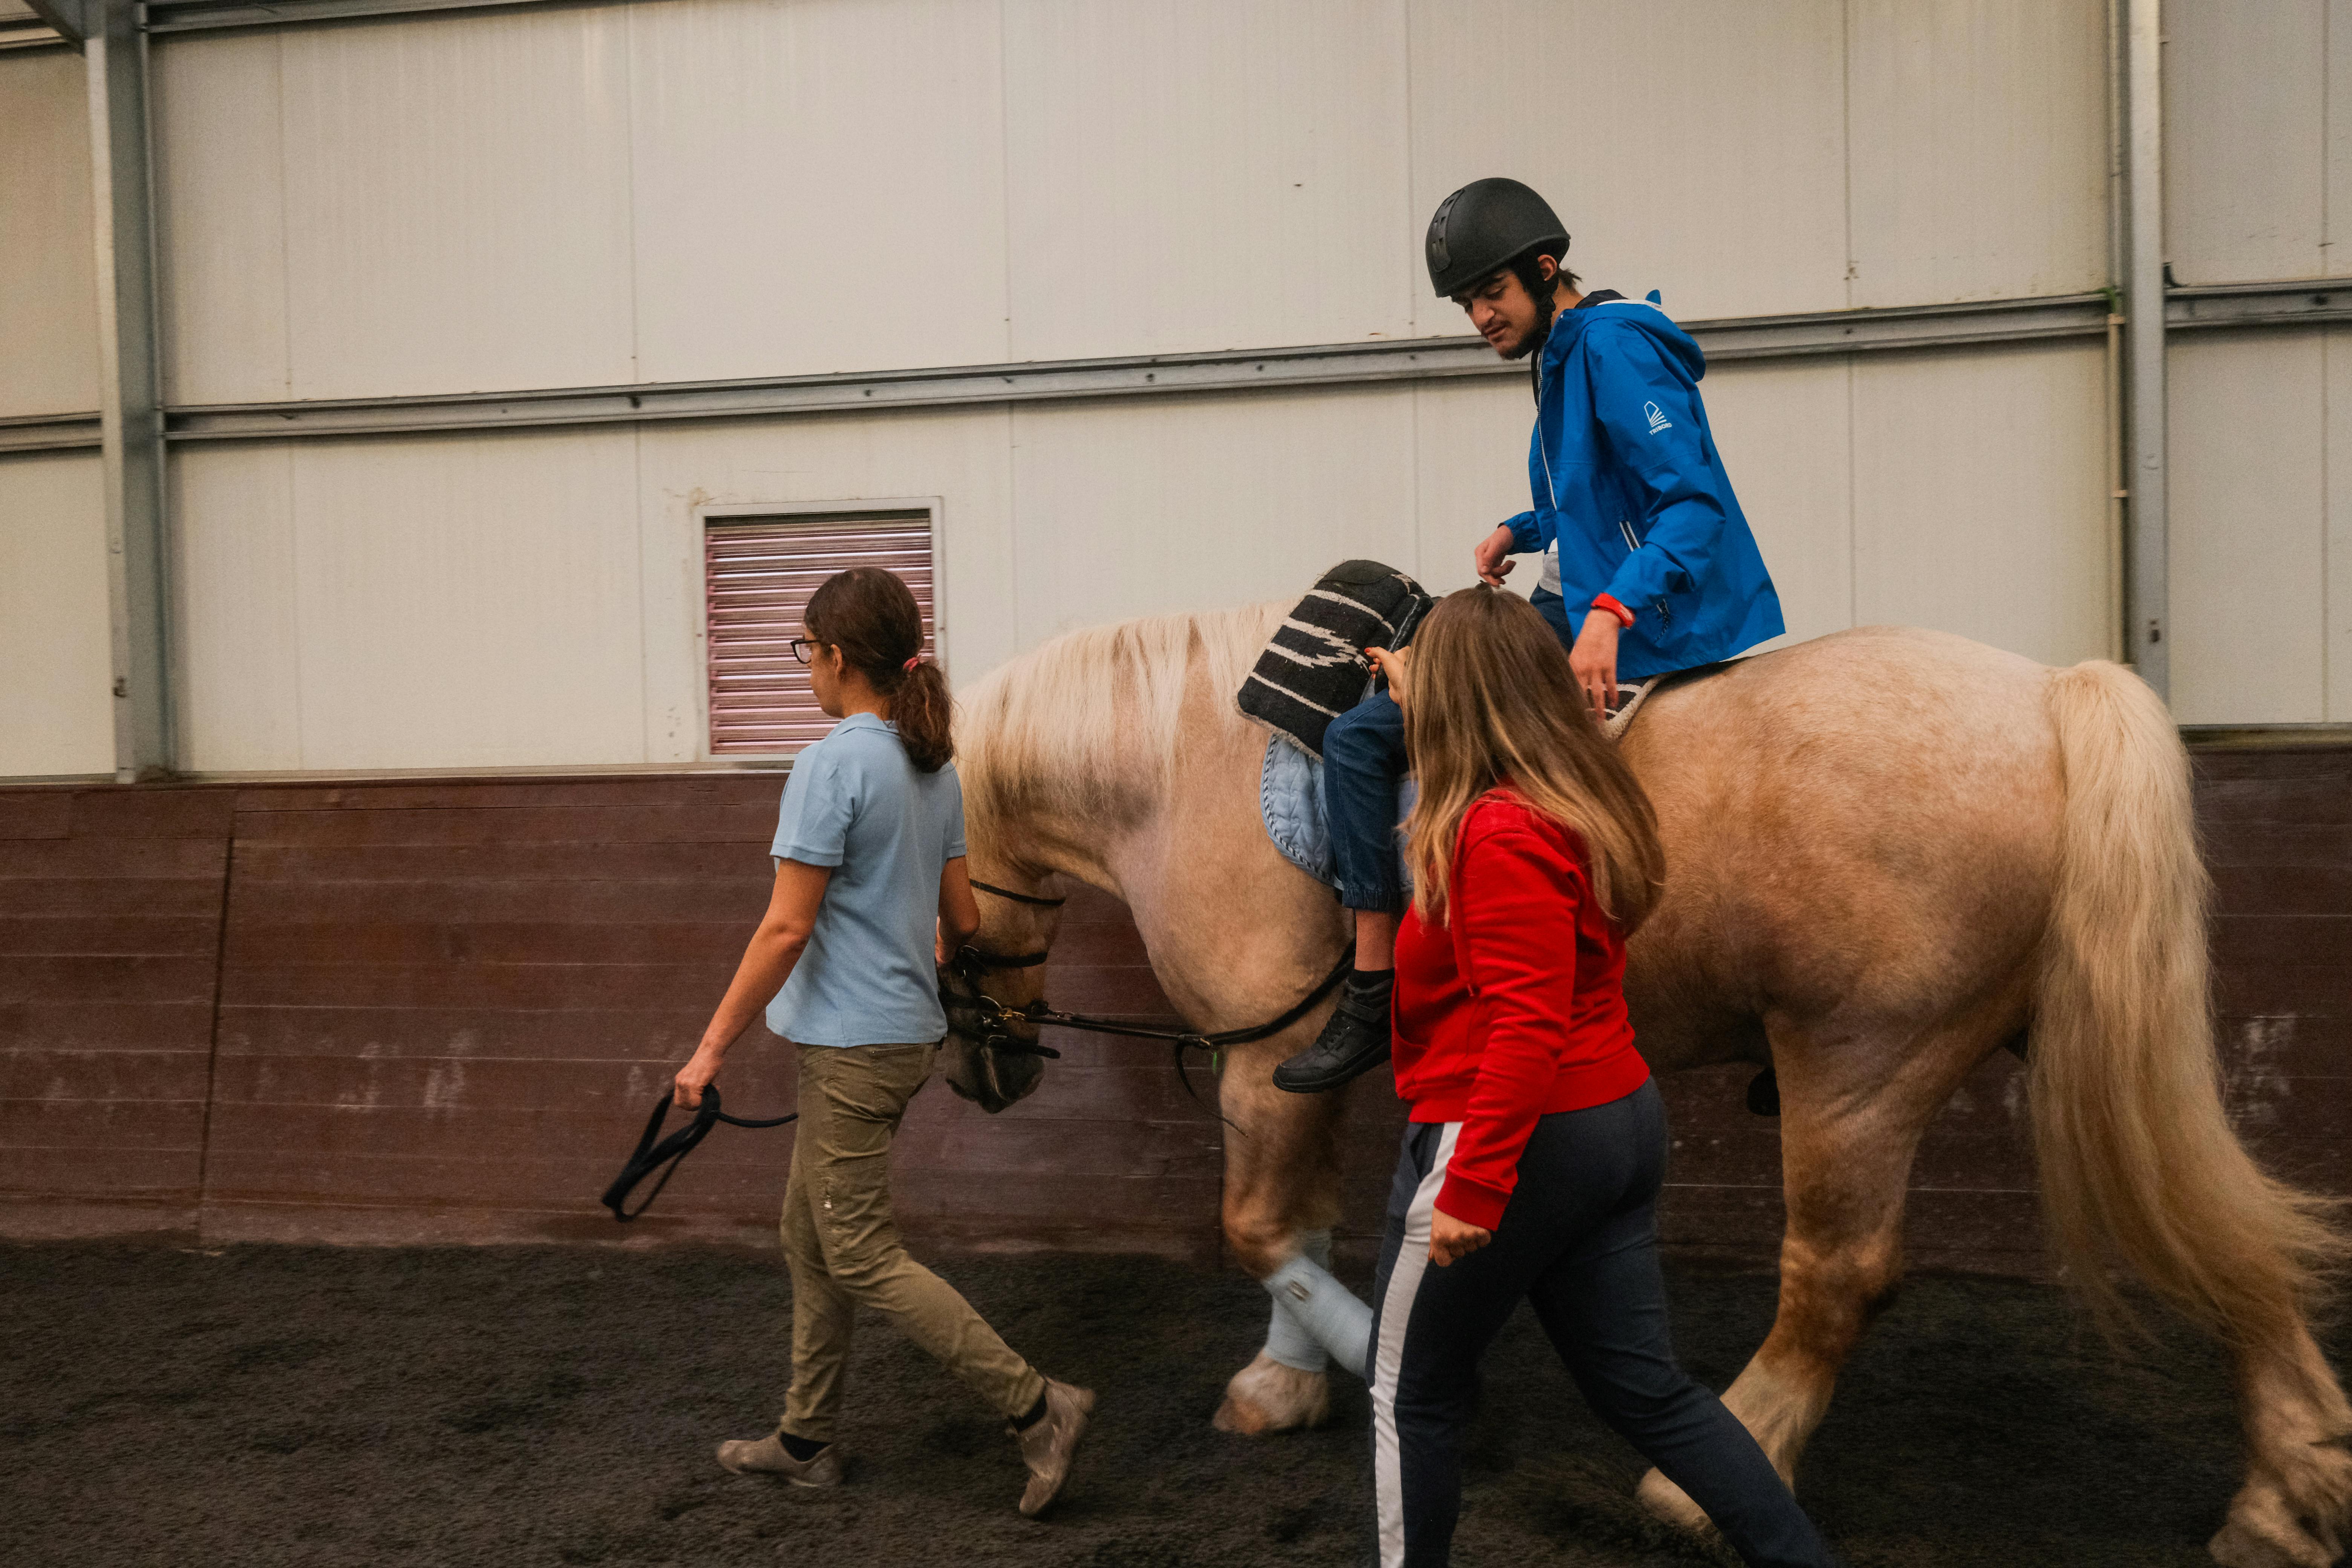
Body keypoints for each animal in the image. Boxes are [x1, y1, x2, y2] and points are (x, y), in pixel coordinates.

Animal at [936, 606, 2352, 1568]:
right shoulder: (1301, 1069)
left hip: (1860, 1060)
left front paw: (1360, 1368)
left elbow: (1256, 1227)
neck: (1196, 761)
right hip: (2070, 1042)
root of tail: (2055, 693)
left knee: (1840, 1276)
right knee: (2219, 1226)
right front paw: (1286, 1384)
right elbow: (1305, 1223)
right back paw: (2290, 1485)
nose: (980, 1066)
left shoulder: (1260, 1065)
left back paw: (1715, 1471)